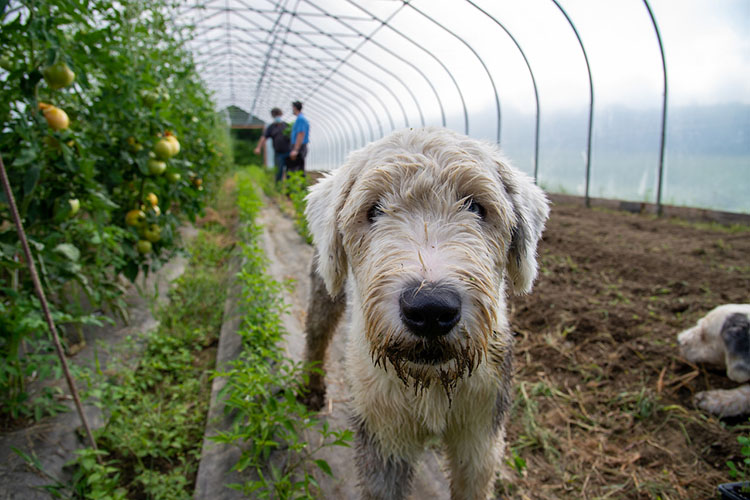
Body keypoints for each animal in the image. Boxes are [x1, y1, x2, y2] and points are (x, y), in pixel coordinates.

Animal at [300, 128, 552, 500]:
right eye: (374, 209)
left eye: (475, 206)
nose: (430, 308)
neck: (432, 379)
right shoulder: (383, 438)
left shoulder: (481, 437)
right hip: (324, 283)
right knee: (316, 334)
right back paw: (311, 388)